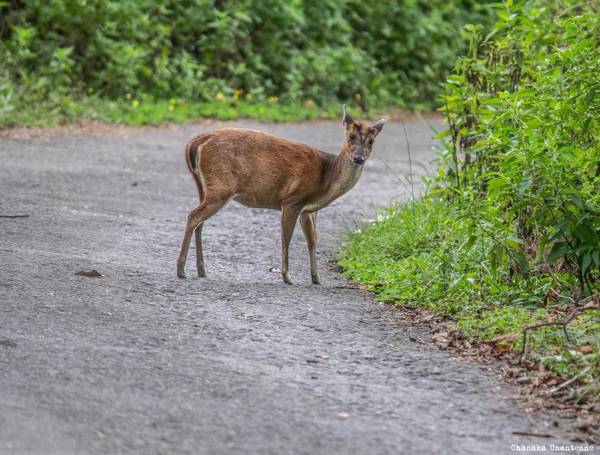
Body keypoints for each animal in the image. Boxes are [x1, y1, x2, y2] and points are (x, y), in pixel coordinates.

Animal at [176, 107, 386, 284]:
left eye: (371, 141)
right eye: (351, 136)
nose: (359, 158)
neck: (326, 178)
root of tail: (193, 143)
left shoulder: (308, 209)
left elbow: (312, 241)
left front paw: (316, 279)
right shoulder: (293, 199)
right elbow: (287, 237)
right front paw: (287, 277)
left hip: (204, 186)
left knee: (199, 222)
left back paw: (201, 270)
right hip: (221, 186)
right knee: (193, 216)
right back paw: (181, 270)